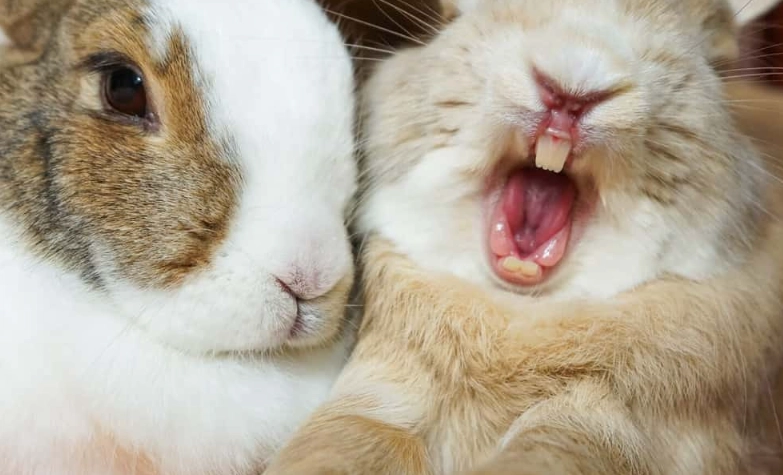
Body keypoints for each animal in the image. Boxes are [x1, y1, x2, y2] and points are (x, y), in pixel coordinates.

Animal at [264, 0, 783, 474]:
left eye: (708, 55)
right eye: (459, 15)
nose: (572, 89)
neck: (516, 312)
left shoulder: (610, 423)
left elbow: (550, 453)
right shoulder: (381, 392)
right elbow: (348, 442)